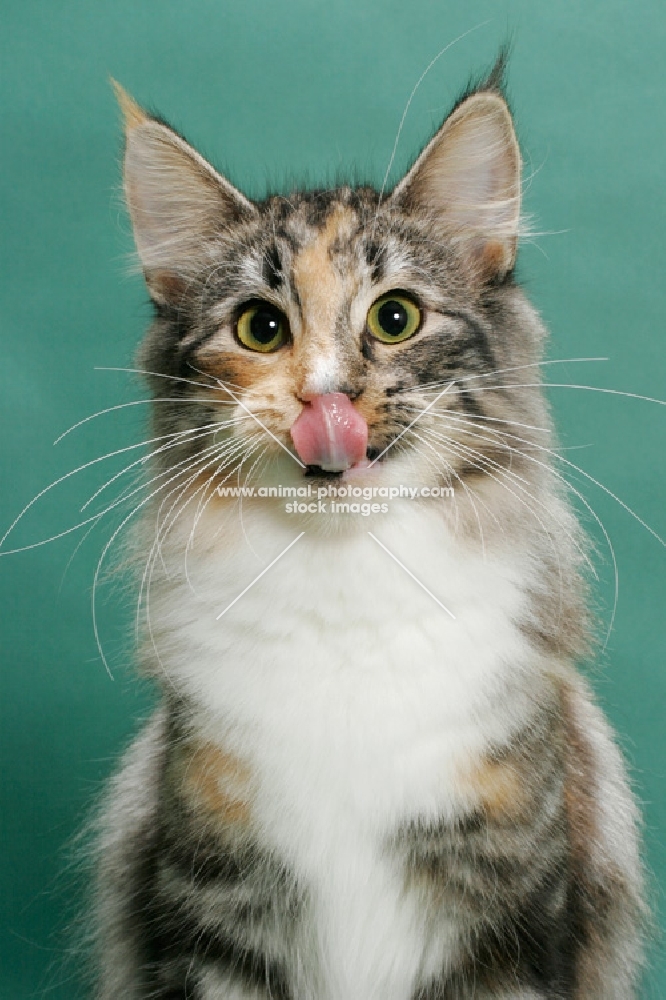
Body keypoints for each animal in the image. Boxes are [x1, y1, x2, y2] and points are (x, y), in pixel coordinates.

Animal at [92, 64, 644, 1000]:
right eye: (261, 328)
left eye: (395, 319)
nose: (327, 398)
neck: (343, 597)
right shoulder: (212, 895)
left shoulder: (510, 902)